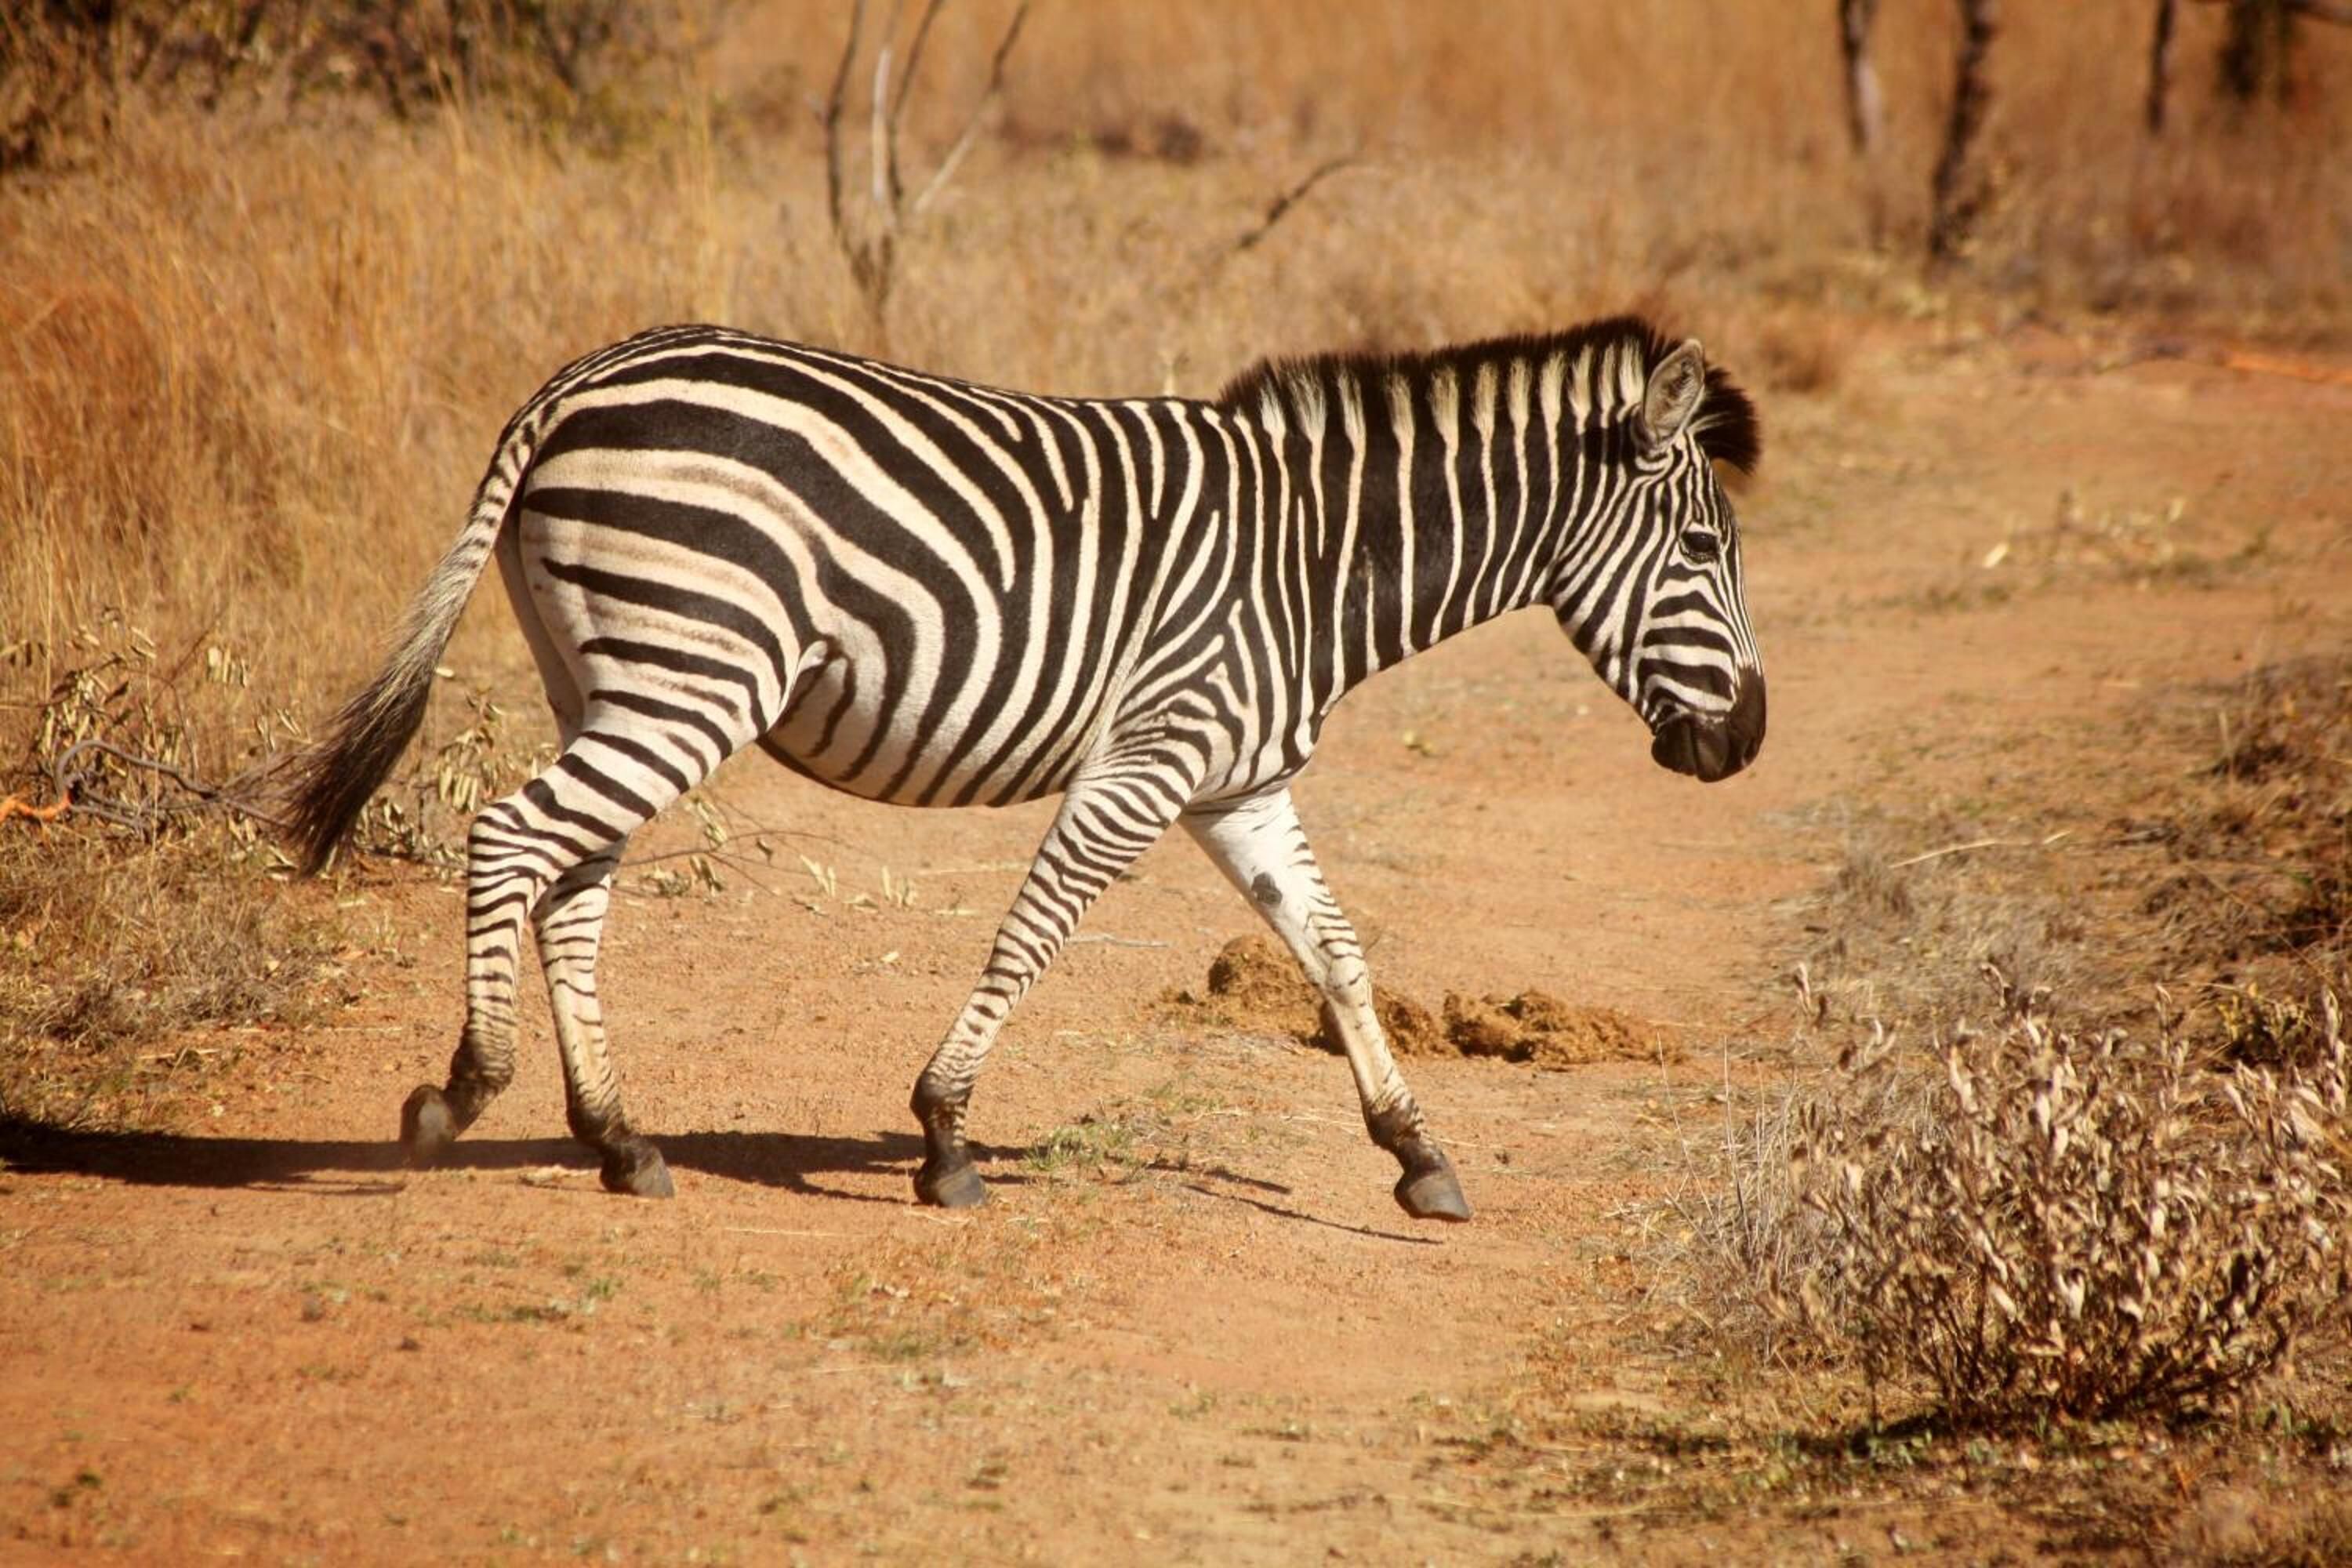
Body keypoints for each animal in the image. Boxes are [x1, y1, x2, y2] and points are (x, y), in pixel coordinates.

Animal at [287, 315, 1764, 1222]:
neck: (1314, 560)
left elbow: (1338, 953)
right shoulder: (1152, 760)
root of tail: (583, 378)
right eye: (1704, 550)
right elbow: (1034, 933)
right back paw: (461, 1095)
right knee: (511, 842)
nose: (1746, 745)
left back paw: (620, 1141)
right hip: (691, 673)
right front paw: (944, 1138)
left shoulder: (1237, 783)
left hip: (616, 674)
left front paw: (1419, 1156)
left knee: (573, 883)